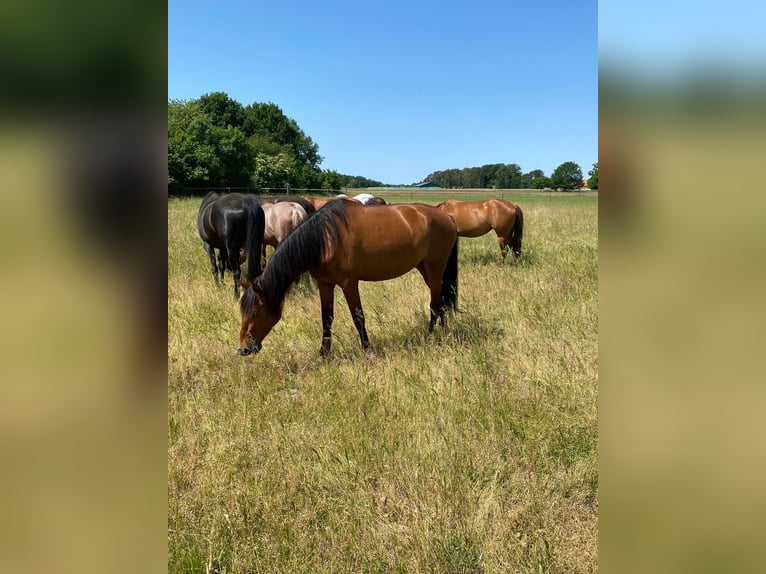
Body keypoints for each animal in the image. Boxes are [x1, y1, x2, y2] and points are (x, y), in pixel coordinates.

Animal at [237, 200, 460, 358]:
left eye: (255, 312)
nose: (242, 350)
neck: (325, 239)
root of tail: (447, 216)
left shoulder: (348, 283)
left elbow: (358, 317)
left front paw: (368, 350)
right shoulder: (325, 284)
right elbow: (326, 318)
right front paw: (324, 353)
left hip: (434, 267)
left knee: (435, 303)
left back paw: (431, 336)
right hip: (425, 268)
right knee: (441, 300)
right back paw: (443, 333)